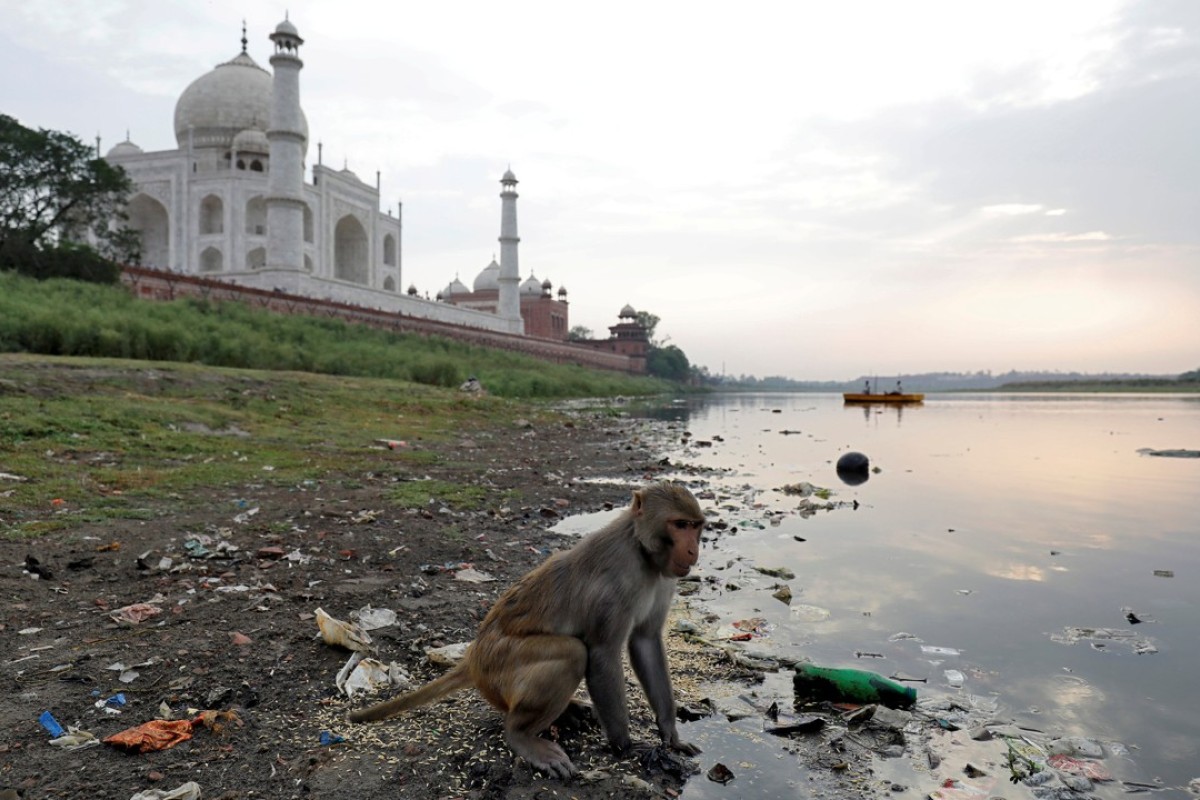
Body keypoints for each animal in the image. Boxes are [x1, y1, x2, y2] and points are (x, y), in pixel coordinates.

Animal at [348, 481, 706, 779]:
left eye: (696, 527)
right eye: (679, 525)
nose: (693, 551)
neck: (642, 550)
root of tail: (473, 657)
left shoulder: (664, 579)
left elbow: (646, 642)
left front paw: (670, 734)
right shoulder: (616, 583)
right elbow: (603, 654)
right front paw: (626, 746)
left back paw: (569, 711)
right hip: (499, 666)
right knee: (572, 653)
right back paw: (521, 735)